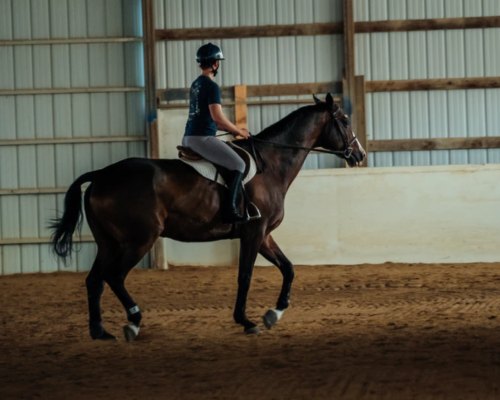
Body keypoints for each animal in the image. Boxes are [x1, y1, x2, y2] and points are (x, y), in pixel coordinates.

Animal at [50, 94, 366, 340]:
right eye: (345, 120)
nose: (360, 154)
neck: (271, 164)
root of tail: (101, 175)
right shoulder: (254, 232)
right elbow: (245, 276)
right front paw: (246, 321)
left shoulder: (263, 234)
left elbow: (288, 269)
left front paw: (273, 313)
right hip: (138, 240)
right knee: (114, 276)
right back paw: (134, 322)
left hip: (108, 243)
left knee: (95, 280)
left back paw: (99, 331)